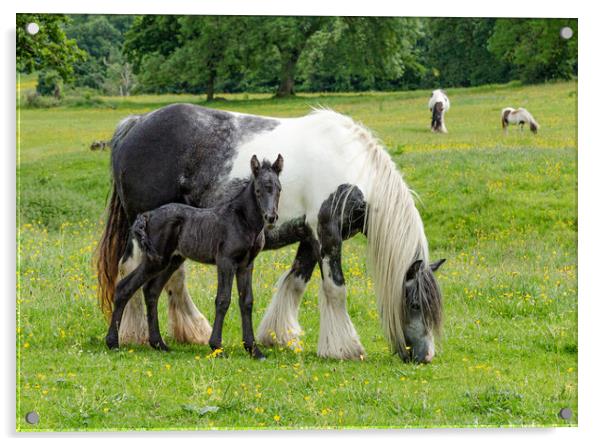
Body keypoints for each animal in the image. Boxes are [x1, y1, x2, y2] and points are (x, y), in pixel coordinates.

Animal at [104, 153, 282, 358]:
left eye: (278, 189)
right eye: (259, 190)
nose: (271, 217)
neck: (242, 220)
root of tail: (147, 215)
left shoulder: (246, 264)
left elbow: (246, 301)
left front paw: (254, 350)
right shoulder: (226, 261)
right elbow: (223, 299)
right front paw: (217, 347)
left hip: (171, 261)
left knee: (151, 291)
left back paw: (159, 344)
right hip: (156, 260)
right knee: (125, 287)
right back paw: (113, 342)